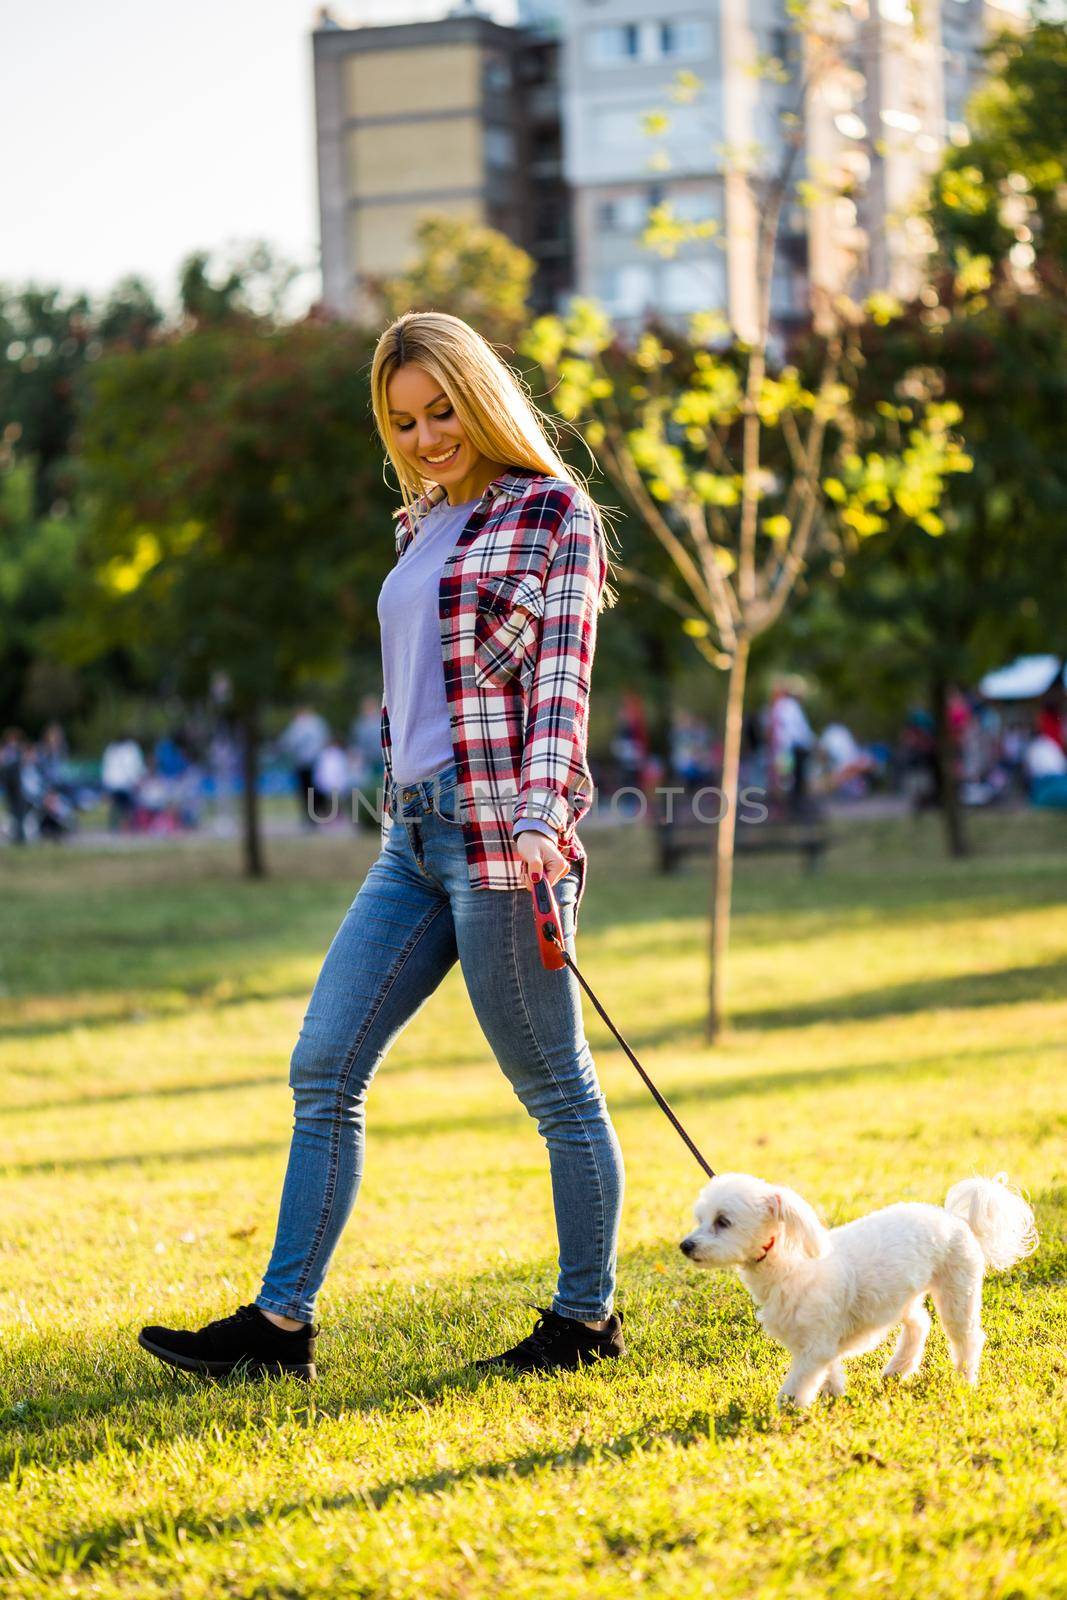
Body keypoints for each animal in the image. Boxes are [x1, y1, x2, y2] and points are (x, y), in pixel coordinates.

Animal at [681, 1171, 1036, 1408]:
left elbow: (797, 1386)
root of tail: (956, 1218)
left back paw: (964, 1378)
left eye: (723, 1221)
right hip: (899, 1294)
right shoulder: (819, 1343)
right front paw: (835, 1396)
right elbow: (830, 1371)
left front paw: (787, 1411)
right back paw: (897, 1368)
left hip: (957, 1289)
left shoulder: (815, 1345)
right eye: (700, 1219)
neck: (790, 1264)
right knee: (920, 1323)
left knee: (967, 1338)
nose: (686, 1245)